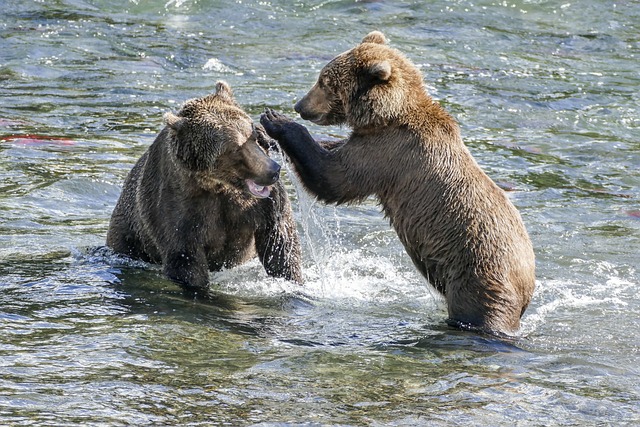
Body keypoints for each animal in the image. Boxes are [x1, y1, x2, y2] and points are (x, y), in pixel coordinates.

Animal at [107, 81, 302, 294]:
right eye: (234, 148)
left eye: (252, 135)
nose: (273, 170)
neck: (217, 184)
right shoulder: (179, 205)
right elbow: (185, 258)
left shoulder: (260, 205)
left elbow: (280, 243)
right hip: (129, 234)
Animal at [260, 30, 536, 338]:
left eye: (325, 82)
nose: (300, 106)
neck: (386, 116)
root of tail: (528, 285)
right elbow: (333, 152)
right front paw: (267, 133)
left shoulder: (389, 153)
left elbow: (334, 178)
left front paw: (276, 121)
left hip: (479, 275)